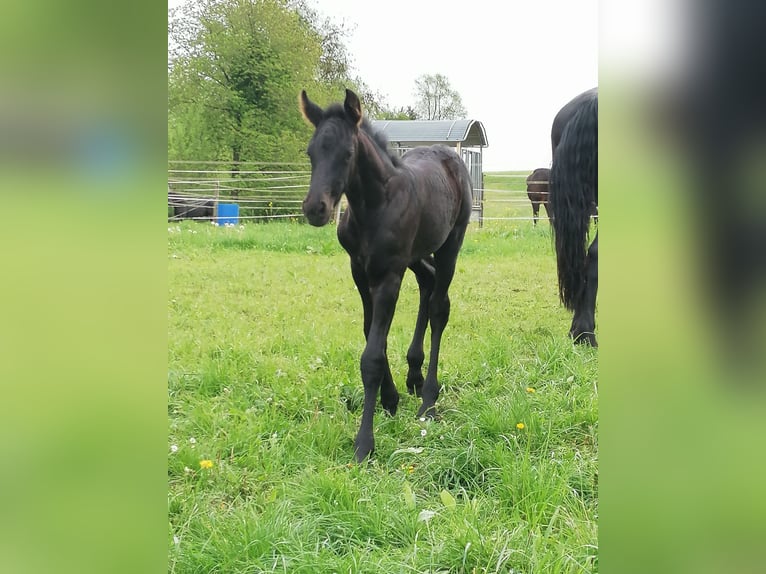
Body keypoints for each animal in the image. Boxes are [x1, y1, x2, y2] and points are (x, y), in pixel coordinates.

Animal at [300, 88, 474, 462]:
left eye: (348, 153)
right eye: (310, 152)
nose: (315, 208)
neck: (374, 206)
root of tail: (449, 157)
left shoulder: (389, 275)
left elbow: (372, 356)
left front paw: (364, 443)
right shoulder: (360, 271)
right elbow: (371, 335)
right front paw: (390, 399)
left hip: (450, 242)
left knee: (440, 306)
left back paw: (429, 400)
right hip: (416, 255)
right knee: (428, 281)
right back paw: (414, 375)